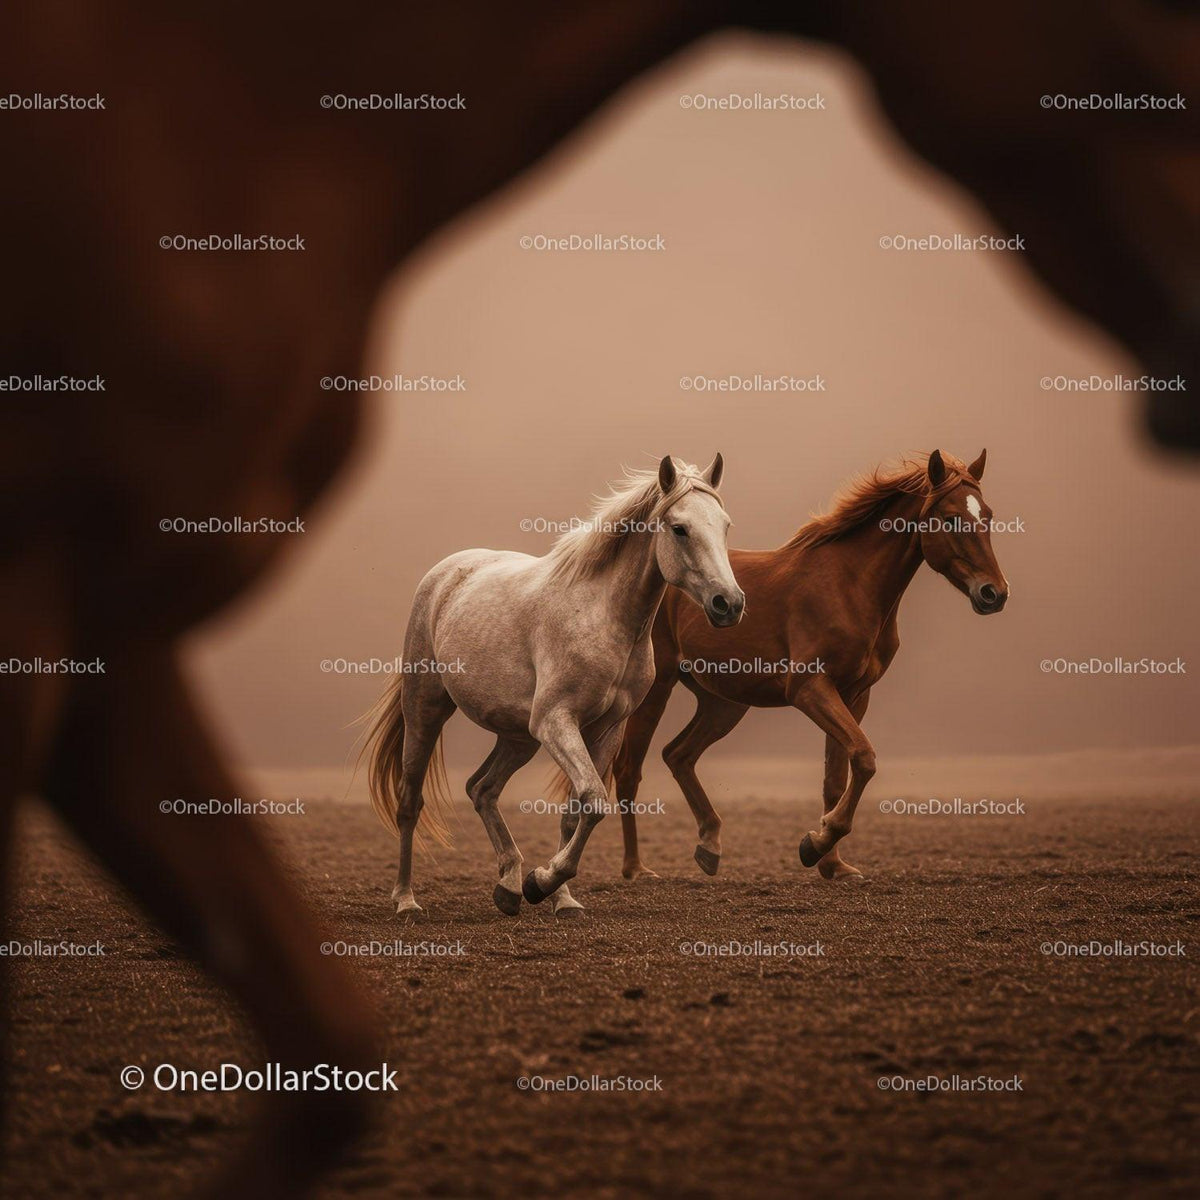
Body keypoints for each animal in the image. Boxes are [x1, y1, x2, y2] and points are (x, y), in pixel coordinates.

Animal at [366, 454, 744, 918]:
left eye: (724, 525)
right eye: (679, 528)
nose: (729, 604)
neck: (603, 617)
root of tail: (444, 576)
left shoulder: (605, 729)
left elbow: (575, 811)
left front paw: (558, 896)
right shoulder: (556, 722)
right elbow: (594, 801)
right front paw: (543, 881)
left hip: (518, 737)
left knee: (482, 789)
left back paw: (509, 886)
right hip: (426, 710)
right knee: (409, 803)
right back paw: (406, 900)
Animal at [613, 449, 1009, 882]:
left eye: (988, 516)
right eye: (951, 518)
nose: (994, 593)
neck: (849, 585)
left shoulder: (854, 695)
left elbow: (837, 777)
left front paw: (831, 862)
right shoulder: (810, 689)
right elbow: (864, 757)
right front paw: (815, 843)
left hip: (724, 703)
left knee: (678, 755)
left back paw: (709, 846)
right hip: (658, 689)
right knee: (629, 770)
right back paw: (635, 868)